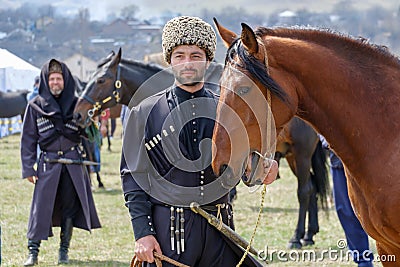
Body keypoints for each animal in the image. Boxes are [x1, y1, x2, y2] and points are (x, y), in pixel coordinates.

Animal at [73, 47, 330, 249]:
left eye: (100, 80)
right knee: (312, 187)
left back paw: (297, 237)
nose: (78, 114)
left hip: (301, 154)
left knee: (305, 190)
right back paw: (309, 234)